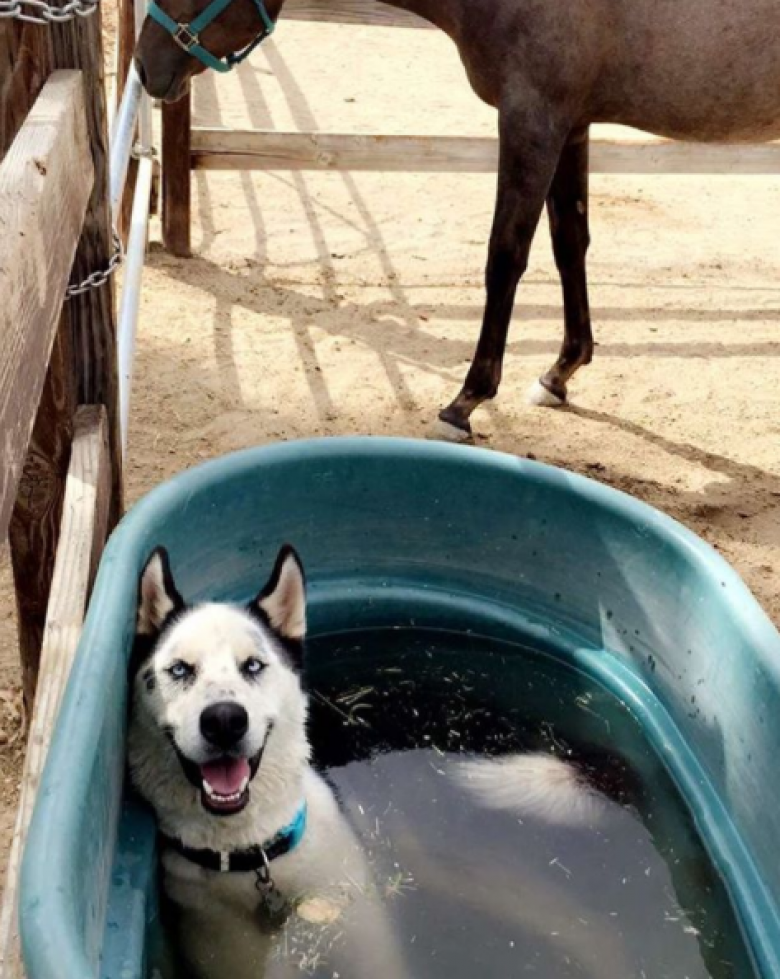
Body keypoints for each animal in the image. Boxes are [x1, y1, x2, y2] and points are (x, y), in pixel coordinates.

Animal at [134, 0, 780, 438]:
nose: (144, 66)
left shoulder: (532, 119)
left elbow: (506, 255)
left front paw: (465, 401)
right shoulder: (571, 123)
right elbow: (569, 242)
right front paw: (561, 372)